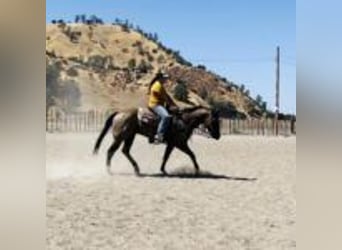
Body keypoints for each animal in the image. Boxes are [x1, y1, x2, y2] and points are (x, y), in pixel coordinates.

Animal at [93, 106, 222, 176]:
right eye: (214, 120)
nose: (218, 136)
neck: (184, 120)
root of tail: (118, 113)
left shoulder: (172, 144)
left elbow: (166, 157)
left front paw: (163, 170)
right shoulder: (180, 143)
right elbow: (192, 155)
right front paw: (197, 171)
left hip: (130, 136)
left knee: (125, 151)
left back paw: (137, 169)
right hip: (120, 137)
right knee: (111, 151)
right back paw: (109, 171)